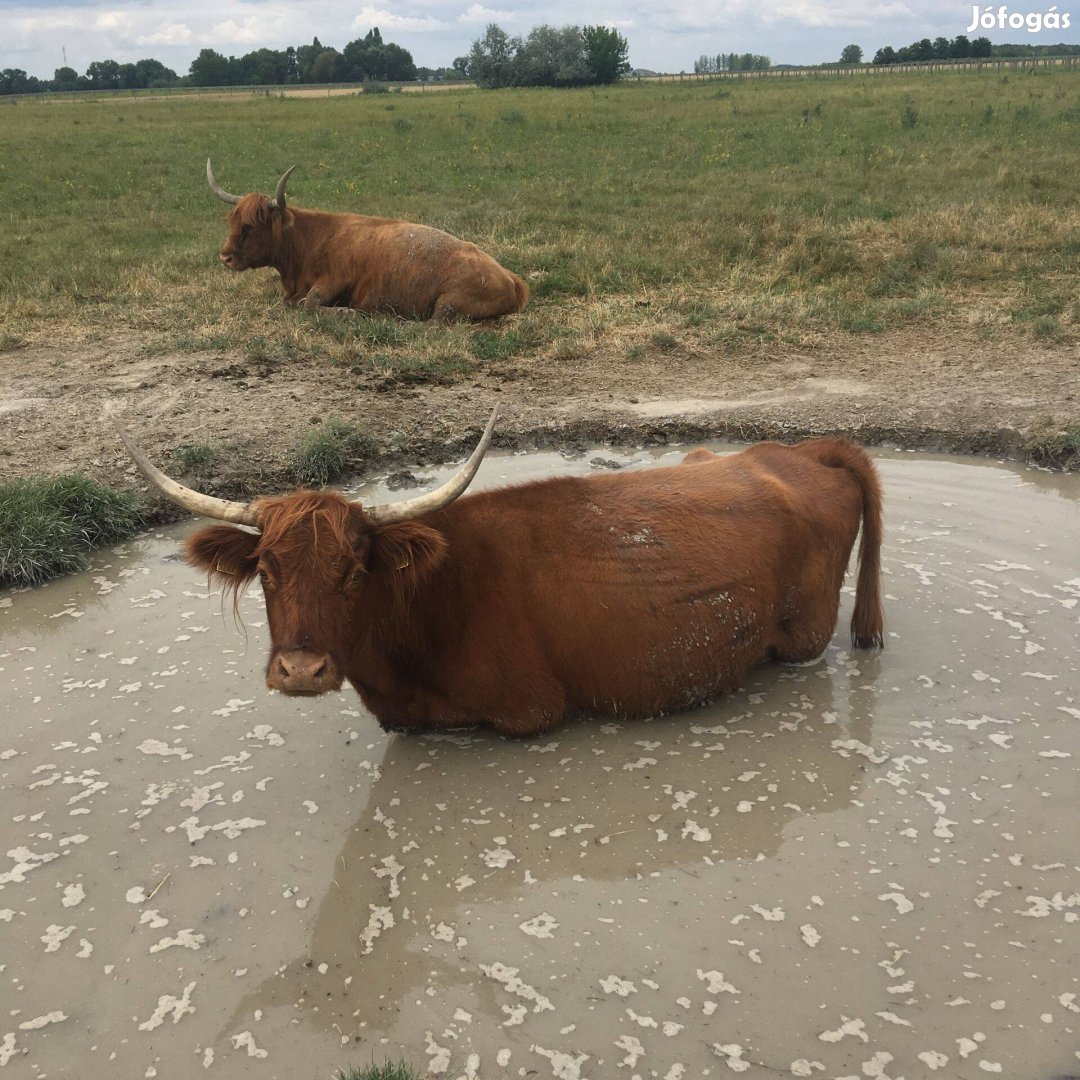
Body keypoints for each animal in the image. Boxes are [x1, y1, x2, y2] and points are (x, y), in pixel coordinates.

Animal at [118, 410, 881, 734]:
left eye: (355, 572)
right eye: (268, 570)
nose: (301, 671)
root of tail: (801, 451)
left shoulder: (527, 712)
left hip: (802, 640)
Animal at [205, 158, 527, 319]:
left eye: (251, 227)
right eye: (232, 221)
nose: (225, 256)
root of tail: (508, 275)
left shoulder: (332, 279)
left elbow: (309, 304)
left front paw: (346, 312)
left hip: (449, 304)